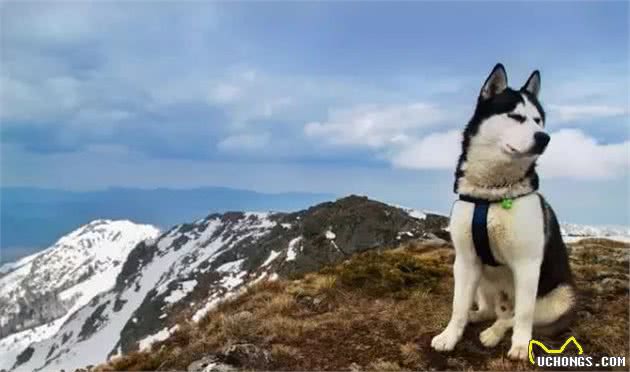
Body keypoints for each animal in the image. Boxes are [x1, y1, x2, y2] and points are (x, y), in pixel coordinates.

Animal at [434, 64, 576, 360]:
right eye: (516, 116)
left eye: (538, 120)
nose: (544, 137)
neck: (492, 194)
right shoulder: (465, 260)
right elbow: (457, 306)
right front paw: (450, 336)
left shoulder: (527, 264)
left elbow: (523, 315)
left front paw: (521, 346)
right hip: (482, 279)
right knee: (489, 309)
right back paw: (478, 316)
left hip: (560, 297)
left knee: (512, 316)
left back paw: (494, 333)